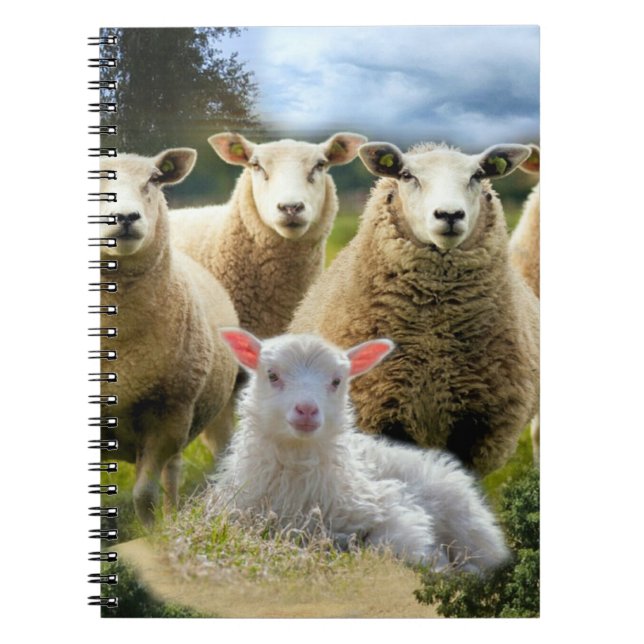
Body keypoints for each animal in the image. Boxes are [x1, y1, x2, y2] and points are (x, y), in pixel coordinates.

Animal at [99, 148, 239, 526]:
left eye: (153, 179)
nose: (126, 217)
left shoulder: (169, 413)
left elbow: (144, 494)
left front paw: (152, 533)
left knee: (174, 471)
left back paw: (173, 515)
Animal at [212, 329, 509, 572]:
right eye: (272, 375)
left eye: (336, 381)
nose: (306, 409)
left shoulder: (392, 507)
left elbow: (391, 543)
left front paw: (437, 564)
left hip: (468, 524)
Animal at [290, 141, 540, 475]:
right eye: (407, 175)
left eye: (477, 175)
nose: (449, 214)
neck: (433, 338)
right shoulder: (381, 409)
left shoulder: (476, 422)